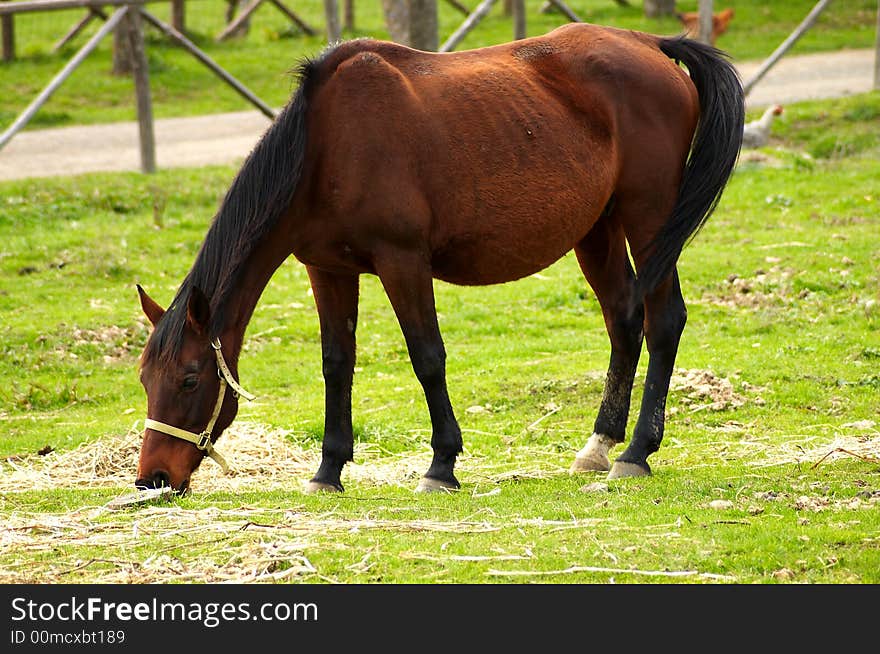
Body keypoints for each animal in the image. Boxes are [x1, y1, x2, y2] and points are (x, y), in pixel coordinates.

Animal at [136, 23, 744, 494]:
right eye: (145, 380)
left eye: (190, 379)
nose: (152, 479)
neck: (325, 147)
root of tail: (651, 44)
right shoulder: (327, 270)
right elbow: (337, 364)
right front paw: (328, 469)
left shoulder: (403, 263)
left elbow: (427, 356)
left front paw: (441, 465)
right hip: (598, 230)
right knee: (623, 319)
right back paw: (599, 445)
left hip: (649, 220)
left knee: (663, 321)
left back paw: (636, 452)